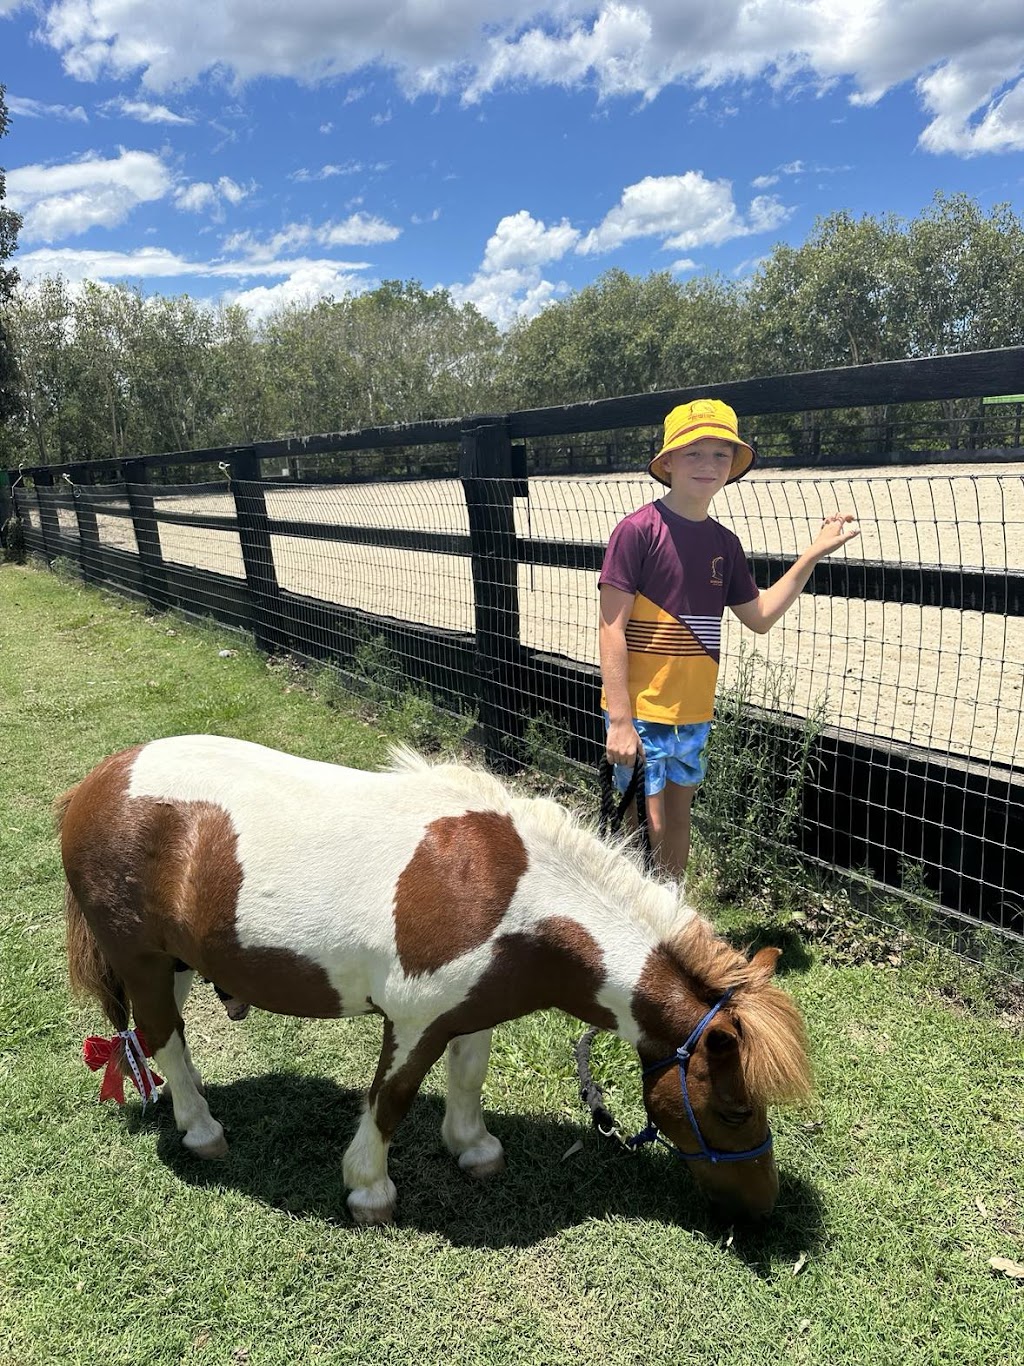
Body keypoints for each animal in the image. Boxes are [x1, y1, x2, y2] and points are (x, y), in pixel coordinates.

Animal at [58, 734, 812, 1224]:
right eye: (735, 1109)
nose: (765, 1207)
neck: (509, 896)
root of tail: (94, 786)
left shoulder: (470, 1009)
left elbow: (468, 1075)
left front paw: (472, 1147)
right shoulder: (414, 1019)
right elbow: (390, 1101)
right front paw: (369, 1188)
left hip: (178, 961)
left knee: (166, 1036)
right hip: (141, 959)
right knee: (162, 1034)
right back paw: (202, 1130)